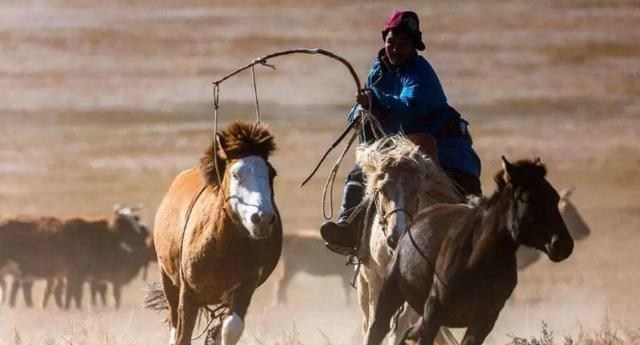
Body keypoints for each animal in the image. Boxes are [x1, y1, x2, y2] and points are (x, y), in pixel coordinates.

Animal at [151, 121, 282, 344]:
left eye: (271, 174)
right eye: (236, 174)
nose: (262, 218)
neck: (220, 247)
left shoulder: (244, 287)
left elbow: (231, 328)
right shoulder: (188, 293)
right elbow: (182, 334)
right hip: (167, 279)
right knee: (174, 323)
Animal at [352, 136, 462, 342]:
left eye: (415, 191)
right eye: (382, 190)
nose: (396, 236)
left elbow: (399, 325)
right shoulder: (375, 279)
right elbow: (375, 323)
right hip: (363, 283)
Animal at [364, 157, 576, 344]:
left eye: (555, 197)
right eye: (527, 198)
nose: (563, 244)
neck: (478, 258)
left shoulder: (484, 320)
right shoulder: (433, 312)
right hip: (390, 293)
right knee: (377, 329)